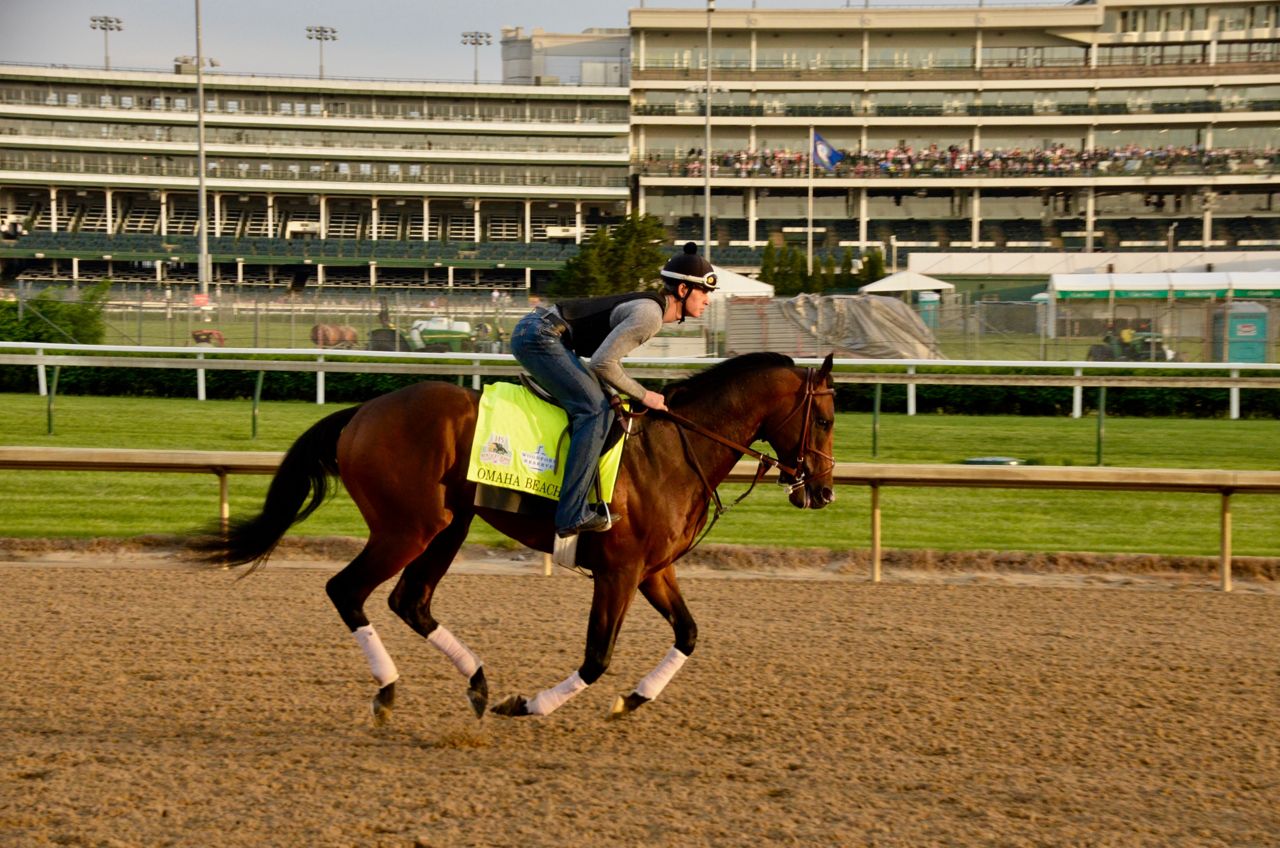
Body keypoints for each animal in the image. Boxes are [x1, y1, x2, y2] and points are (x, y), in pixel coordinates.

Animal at [186, 350, 829, 722]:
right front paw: (528, 705)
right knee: (348, 590)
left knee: (410, 601)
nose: (822, 492)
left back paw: (475, 682)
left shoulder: (653, 569)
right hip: (408, 527)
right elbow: (596, 657)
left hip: (449, 524)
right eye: (824, 417)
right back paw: (391, 689)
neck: (675, 449)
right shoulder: (619, 571)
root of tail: (362, 413)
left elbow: (689, 635)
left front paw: (633, 699)